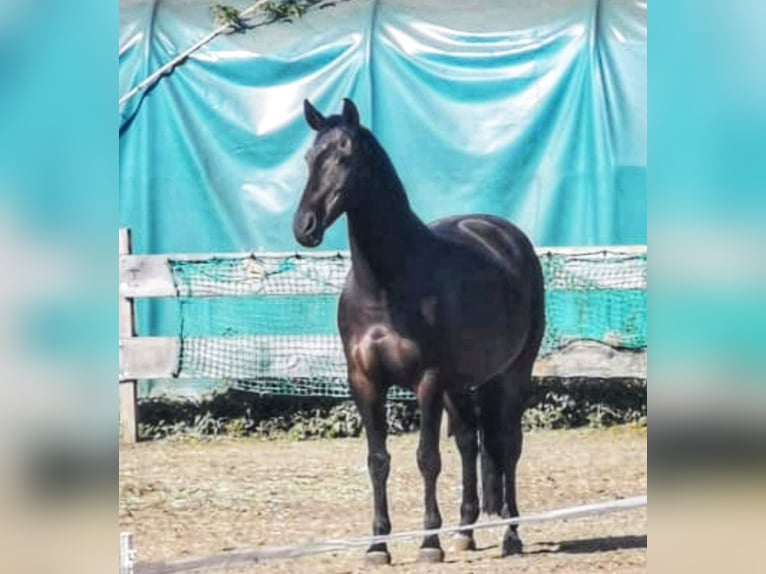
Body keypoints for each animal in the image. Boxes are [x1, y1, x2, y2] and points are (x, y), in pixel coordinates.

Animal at [292, 100, 544, 568]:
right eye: (308, 157)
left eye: (345, 156)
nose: (305, 226)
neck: (385, 284)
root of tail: (505, 236)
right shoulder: (365, 382)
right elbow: (378, 460)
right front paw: (378, 546)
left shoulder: (427, 381)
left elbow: (427, 458)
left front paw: (429, 543)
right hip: (461, 385)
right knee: (469, 441)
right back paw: (465, 532)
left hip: (513, 374)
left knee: (508, 444)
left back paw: (511, 535)